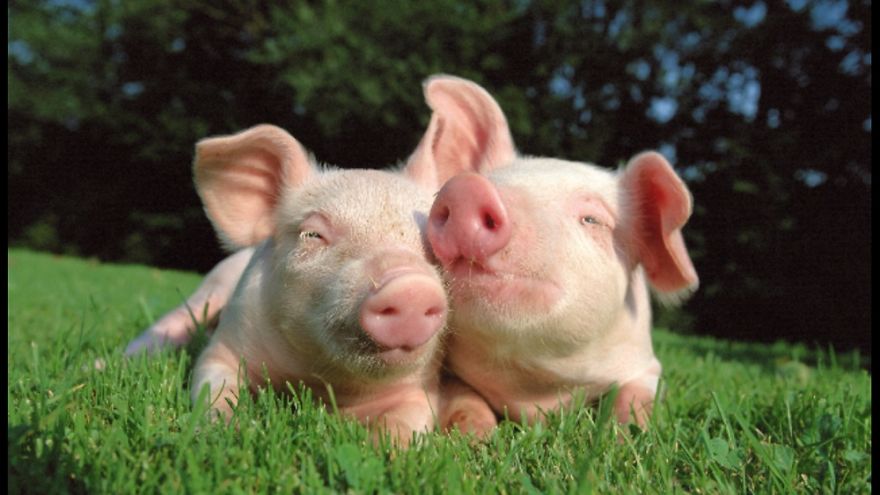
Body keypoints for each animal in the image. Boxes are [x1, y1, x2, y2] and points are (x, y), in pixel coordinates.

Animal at [182, 124, 458, 443]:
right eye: (313, 235)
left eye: (433, 246)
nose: (410, 287)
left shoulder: (421, 388)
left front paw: (387, 449)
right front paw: (225, 430)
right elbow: (214, 386)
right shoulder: (226, 343)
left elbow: (408, 421)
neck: (322, 383)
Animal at [410, 75, 699, 431]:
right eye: (486, 180)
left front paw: (627, 434)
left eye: (592, 219)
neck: (536, 391)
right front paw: (475, 435)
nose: (467, 189)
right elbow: (465, 398)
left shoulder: (646, 363)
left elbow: (635, 396)